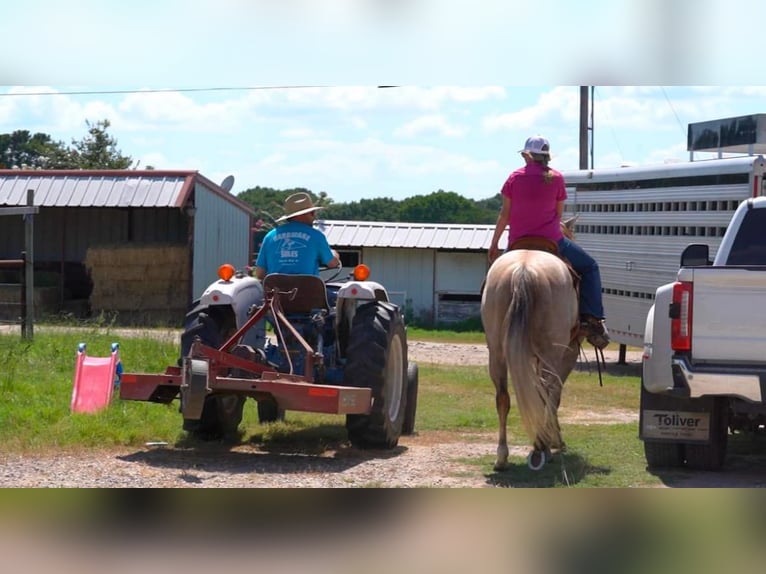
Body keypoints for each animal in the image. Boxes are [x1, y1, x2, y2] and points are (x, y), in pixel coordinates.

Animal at [484, 220, 584, 472]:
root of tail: (523, 270)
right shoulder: (568, 354)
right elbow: (554, 394)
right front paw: (556, 440)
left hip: (496, 352)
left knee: (503, 397)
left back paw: (502, 457)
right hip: (552, 352)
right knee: (547, 391)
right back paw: (543, 447)